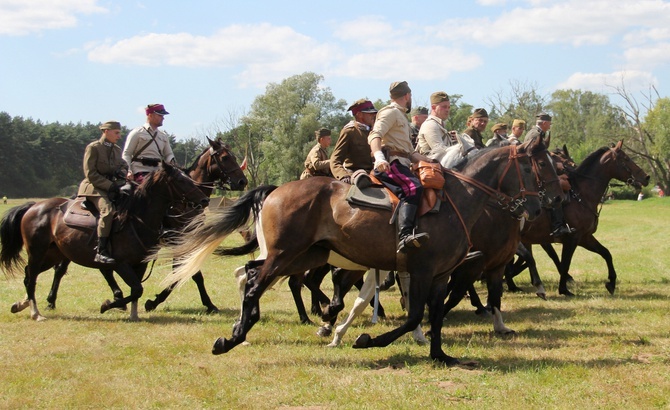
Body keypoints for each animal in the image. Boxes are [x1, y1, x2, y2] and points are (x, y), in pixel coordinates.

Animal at [0, 163, 210, 320]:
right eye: (180, 181)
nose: (204, 200)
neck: (137, 218)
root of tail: (34, 206)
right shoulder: (121, 263)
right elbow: (137, 288)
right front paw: (108, 305)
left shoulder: (140, 263)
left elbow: (137, 290)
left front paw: (134, 314)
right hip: (37, 252)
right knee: (33, 278)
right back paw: (36, 313)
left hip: (53, 254)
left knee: (30, 275)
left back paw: (22, 304)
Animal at [44, 138, 249, 314]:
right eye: (225, 157)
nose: (242, 181)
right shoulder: (176, 242)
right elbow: (189, 273)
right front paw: (155, 302)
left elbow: (187, 272)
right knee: (63, 269)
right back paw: (51, 301)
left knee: (102, 268)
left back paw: (117, 298)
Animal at [161, 138, 560, 366]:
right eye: (541, 164)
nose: (548, 204)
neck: (458, 201)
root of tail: (274, 190)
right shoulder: (422, 270)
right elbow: (414, 316)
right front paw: (367, 339)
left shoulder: (441, 275)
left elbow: (434, 315)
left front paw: (439, 355)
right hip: (286, 254)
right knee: (257, 282)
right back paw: (234, 337)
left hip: (305, 255)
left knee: (254, 273)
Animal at [510, 140, 652, 294]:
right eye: (626, 159)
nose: (646, 177)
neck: (581, 195)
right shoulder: (572, 239)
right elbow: (565, 263)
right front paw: (564, 289)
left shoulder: (585, 237)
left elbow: (606, 253)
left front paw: (611, 283)